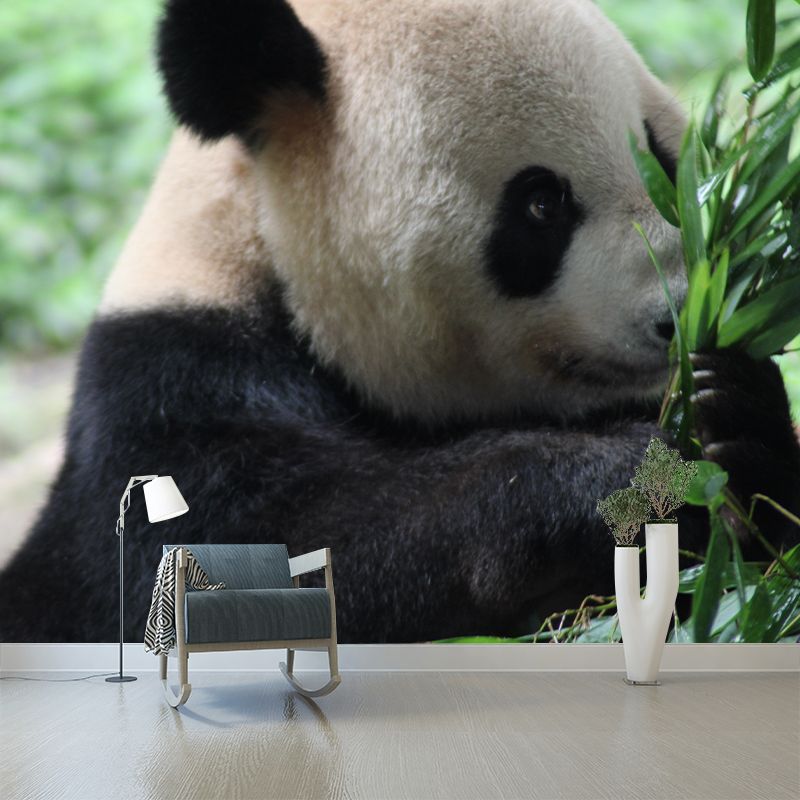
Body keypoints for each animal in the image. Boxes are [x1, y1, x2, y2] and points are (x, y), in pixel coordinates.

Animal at [1, 0, 798, 643]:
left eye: (661, 156)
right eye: (541, 204)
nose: (679, 313)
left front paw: (731, 412)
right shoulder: (171, 386)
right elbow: (267, 555)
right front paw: (613, 481)